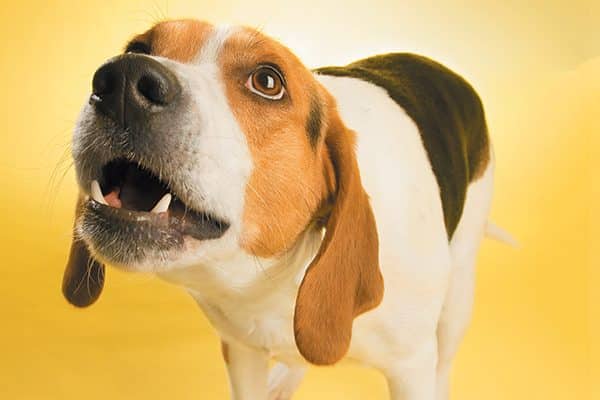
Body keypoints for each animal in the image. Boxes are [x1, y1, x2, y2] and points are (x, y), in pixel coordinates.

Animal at [62, 19, 510, 400]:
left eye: (267, 81)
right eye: (138, 48)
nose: (122, 80)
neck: (278, 276)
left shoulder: (411, 367)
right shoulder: (240, 351)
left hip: (458, 292)